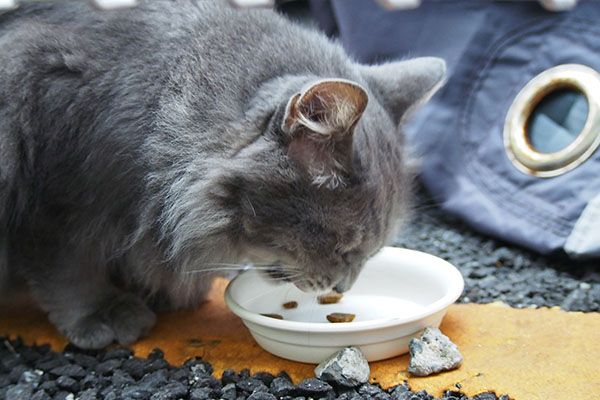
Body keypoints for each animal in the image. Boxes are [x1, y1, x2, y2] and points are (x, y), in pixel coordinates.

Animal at [0, 0, 440, 348]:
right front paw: (103, 312)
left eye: (371, 252)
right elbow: (69, 266)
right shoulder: (57, 198)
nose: (343, 288)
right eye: (344, 247)